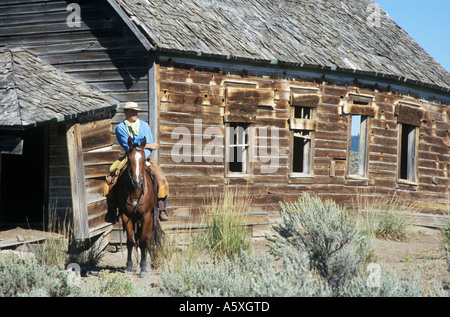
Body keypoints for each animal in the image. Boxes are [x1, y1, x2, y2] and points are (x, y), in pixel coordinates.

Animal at [117, 136, 159, 276]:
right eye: (129, 159)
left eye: (143, 158)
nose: (136, 181)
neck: (135, 191)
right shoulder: (126, 216)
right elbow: (130, 242)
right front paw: (129, 267)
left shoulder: (146, 216)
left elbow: (143, 242)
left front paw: (144, 268)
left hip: (150, 218)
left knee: (148, 239)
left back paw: (147, 265)